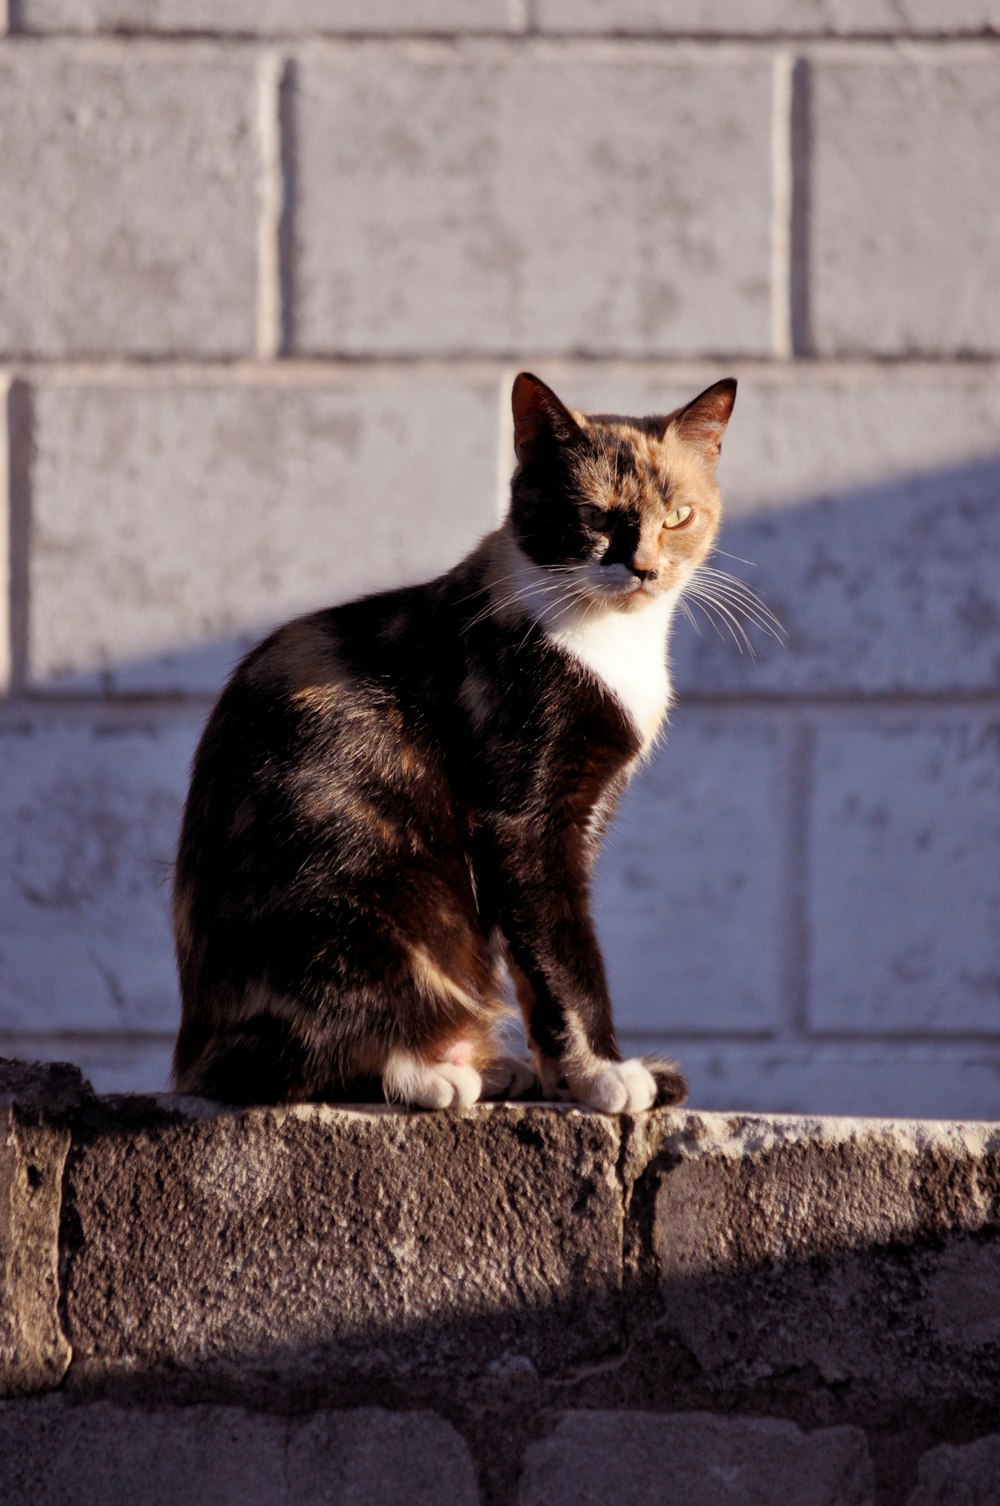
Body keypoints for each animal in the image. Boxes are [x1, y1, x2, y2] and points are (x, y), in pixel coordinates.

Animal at [170, 370, 734, 1114]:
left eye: (678, 517)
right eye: (596, 515)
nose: (643, 568)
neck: (607, 641)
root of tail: (192, 1052)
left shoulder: (584, 813)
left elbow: (534, 964)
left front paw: (567, 1080)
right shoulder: (523, 819)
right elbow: (563, 957)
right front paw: (605, 1073)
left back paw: (490, 1067)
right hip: (366, 907)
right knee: (279, 1067)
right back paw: (430, 1072)